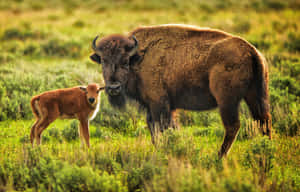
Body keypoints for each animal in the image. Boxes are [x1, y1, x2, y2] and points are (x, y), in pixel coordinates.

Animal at [89, 24, 272, 158]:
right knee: (263, 121)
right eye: (103, 61)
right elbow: (155, 128)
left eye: (125, 61)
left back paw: (219, 156)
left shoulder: (159, 104)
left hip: (227, 101)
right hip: (256, 96)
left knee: (233, 126)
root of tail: (251, 51)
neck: (139, 57)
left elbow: (163, 127)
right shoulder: (155, 106)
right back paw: (266, 149)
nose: (113, 88)